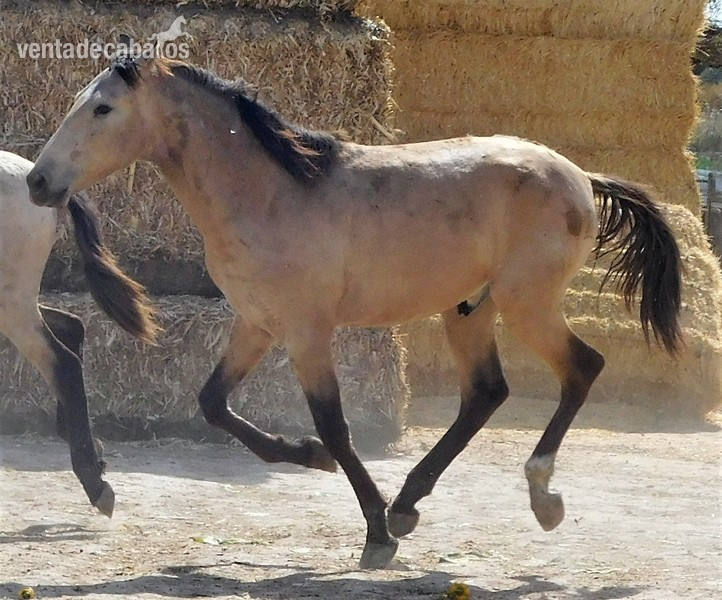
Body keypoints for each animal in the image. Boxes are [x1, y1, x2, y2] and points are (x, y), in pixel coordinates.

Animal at [26, 56, 682, 569]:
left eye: (102, 108)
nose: (37, 182)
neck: (272, 193)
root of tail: (579, 175)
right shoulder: (258, 323)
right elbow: (214, 403)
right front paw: (312, 461)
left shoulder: (307, 333)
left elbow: (335, 426)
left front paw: (374, 535)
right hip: (470, 311)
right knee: (487, 392)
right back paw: (409, 503)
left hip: (528, 304)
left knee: (582, 368)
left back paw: (541, 497)